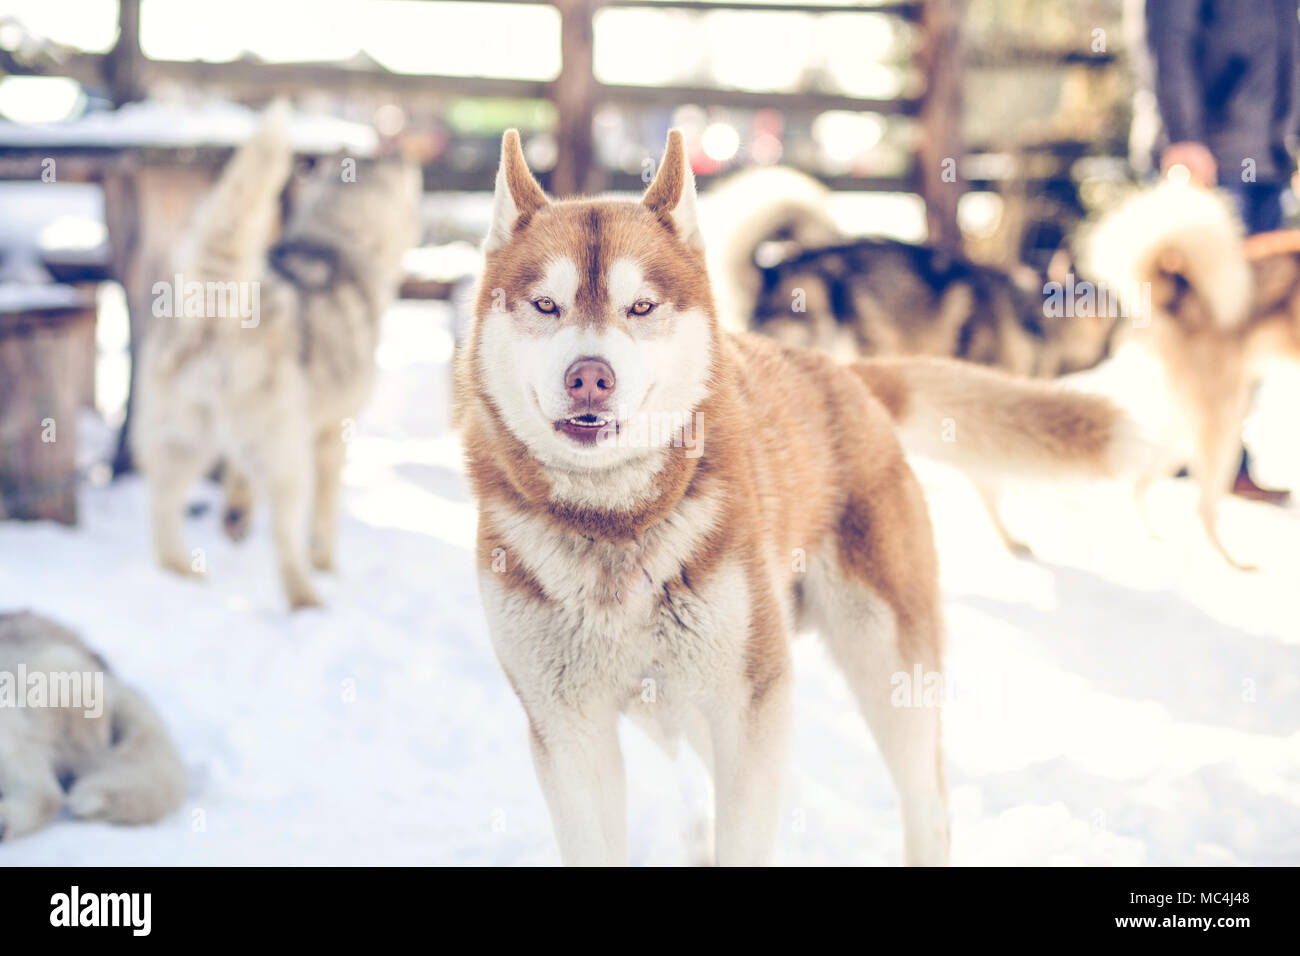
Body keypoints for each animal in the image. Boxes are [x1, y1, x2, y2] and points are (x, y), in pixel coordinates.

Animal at [131, 104, 418, 608]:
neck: (341, 239)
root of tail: (218, 304)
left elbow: (237, 483)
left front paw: (235, 518)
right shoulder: (330, 434)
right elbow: (323, 519)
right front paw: (325, 565)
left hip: (182, 441)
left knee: (163, 513)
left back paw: (183, 574)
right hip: (284, 457)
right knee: (285, 536)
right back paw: (306, 599)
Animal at [1081, 180, 1300, 567]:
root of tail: (1178, 289)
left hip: (1189, 425)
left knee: (1142, 482)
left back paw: (1159, 541)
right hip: (1220, 422)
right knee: (1202, 506)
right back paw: (1234, 565)